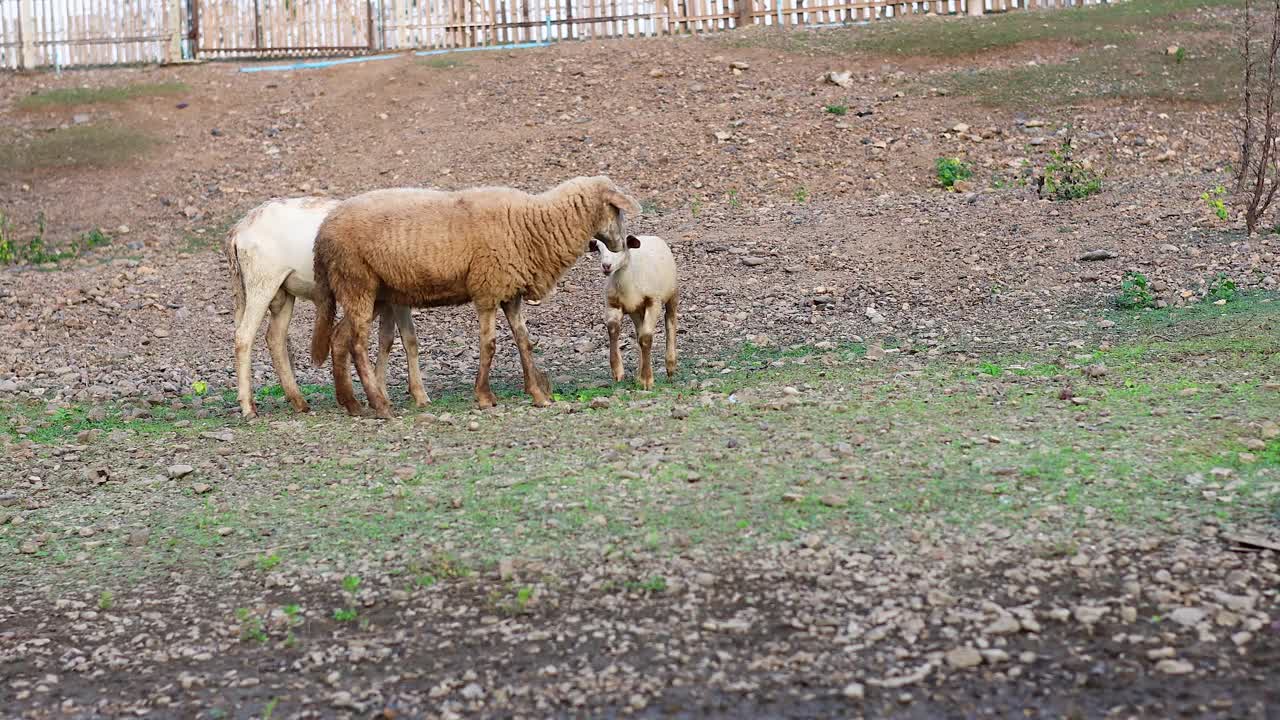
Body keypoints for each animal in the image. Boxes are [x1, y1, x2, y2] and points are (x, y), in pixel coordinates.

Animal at [225, 196, 430, 420]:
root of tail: (238, 231)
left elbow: (389, 340)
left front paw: (385, 393)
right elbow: (407, 338)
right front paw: (419, 396)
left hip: (279, 291)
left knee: (274, 337)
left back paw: (299, 402)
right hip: (261, 283)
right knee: (243, 337)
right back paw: (249, 408)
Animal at [309, 174, 640, 417]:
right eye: (617, 209)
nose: (624, 243)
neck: (533, 223)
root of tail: (322, 232)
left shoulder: (510, 293)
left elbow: (524, 342)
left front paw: (538, 395)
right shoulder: (487, 289)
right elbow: (489, 345)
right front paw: (483, 396)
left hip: (370, 291)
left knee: (339, 337)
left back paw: (352, 403)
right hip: (357, 282)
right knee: (357, 343)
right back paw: (379, 405)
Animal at [586, 234, 680, 386]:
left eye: (621, 245)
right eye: (598, 249)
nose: (606, 266)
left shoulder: (653, 302)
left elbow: (646, 337)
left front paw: (647, 380)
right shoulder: (613, 304)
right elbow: (613, 330)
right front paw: (618, 372)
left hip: (672, 293)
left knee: (670, 322)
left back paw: (670, 367)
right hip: (636, 310)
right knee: (639, 334)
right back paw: (638, 375)